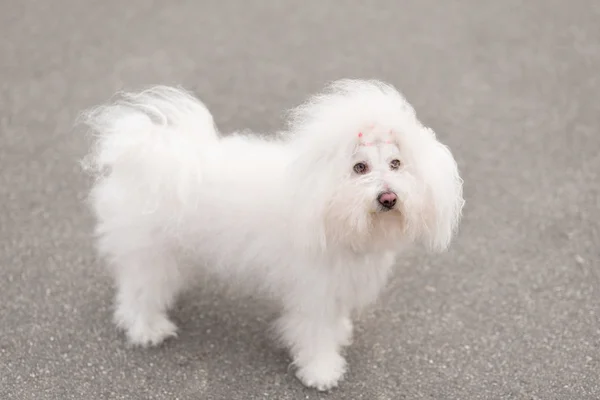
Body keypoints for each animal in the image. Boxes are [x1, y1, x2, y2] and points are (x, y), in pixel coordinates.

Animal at [79, 79, 464, 390]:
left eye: (396, 164)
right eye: (360, 168)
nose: (388, 197)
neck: (330, 210)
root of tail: (150, 152)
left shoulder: (337, 285)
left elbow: (334, 320)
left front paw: (341, 333)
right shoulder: (314, 290)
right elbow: (316, 334)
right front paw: (322, 372)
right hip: (151, 252)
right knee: (138, 292)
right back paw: (146, 329)